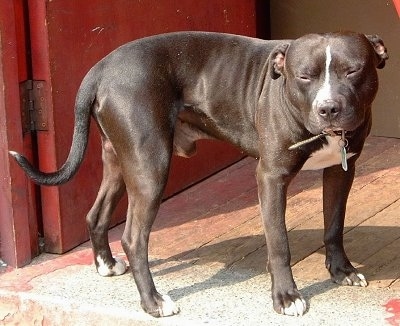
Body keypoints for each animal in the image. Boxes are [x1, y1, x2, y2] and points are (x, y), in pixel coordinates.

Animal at [10, 31, 388, 318]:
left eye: (353, 71)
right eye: (304, 76)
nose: (328, 108)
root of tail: (101, 67)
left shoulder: (341, 170)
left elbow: (334, 226)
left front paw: (342, 271)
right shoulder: (271, 177)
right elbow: (279, 243)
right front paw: (286, 297)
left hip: (119, 161)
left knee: (96, 214)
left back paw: (106, 264)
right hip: (150, 166)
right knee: (133, 238)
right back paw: (154, 303)